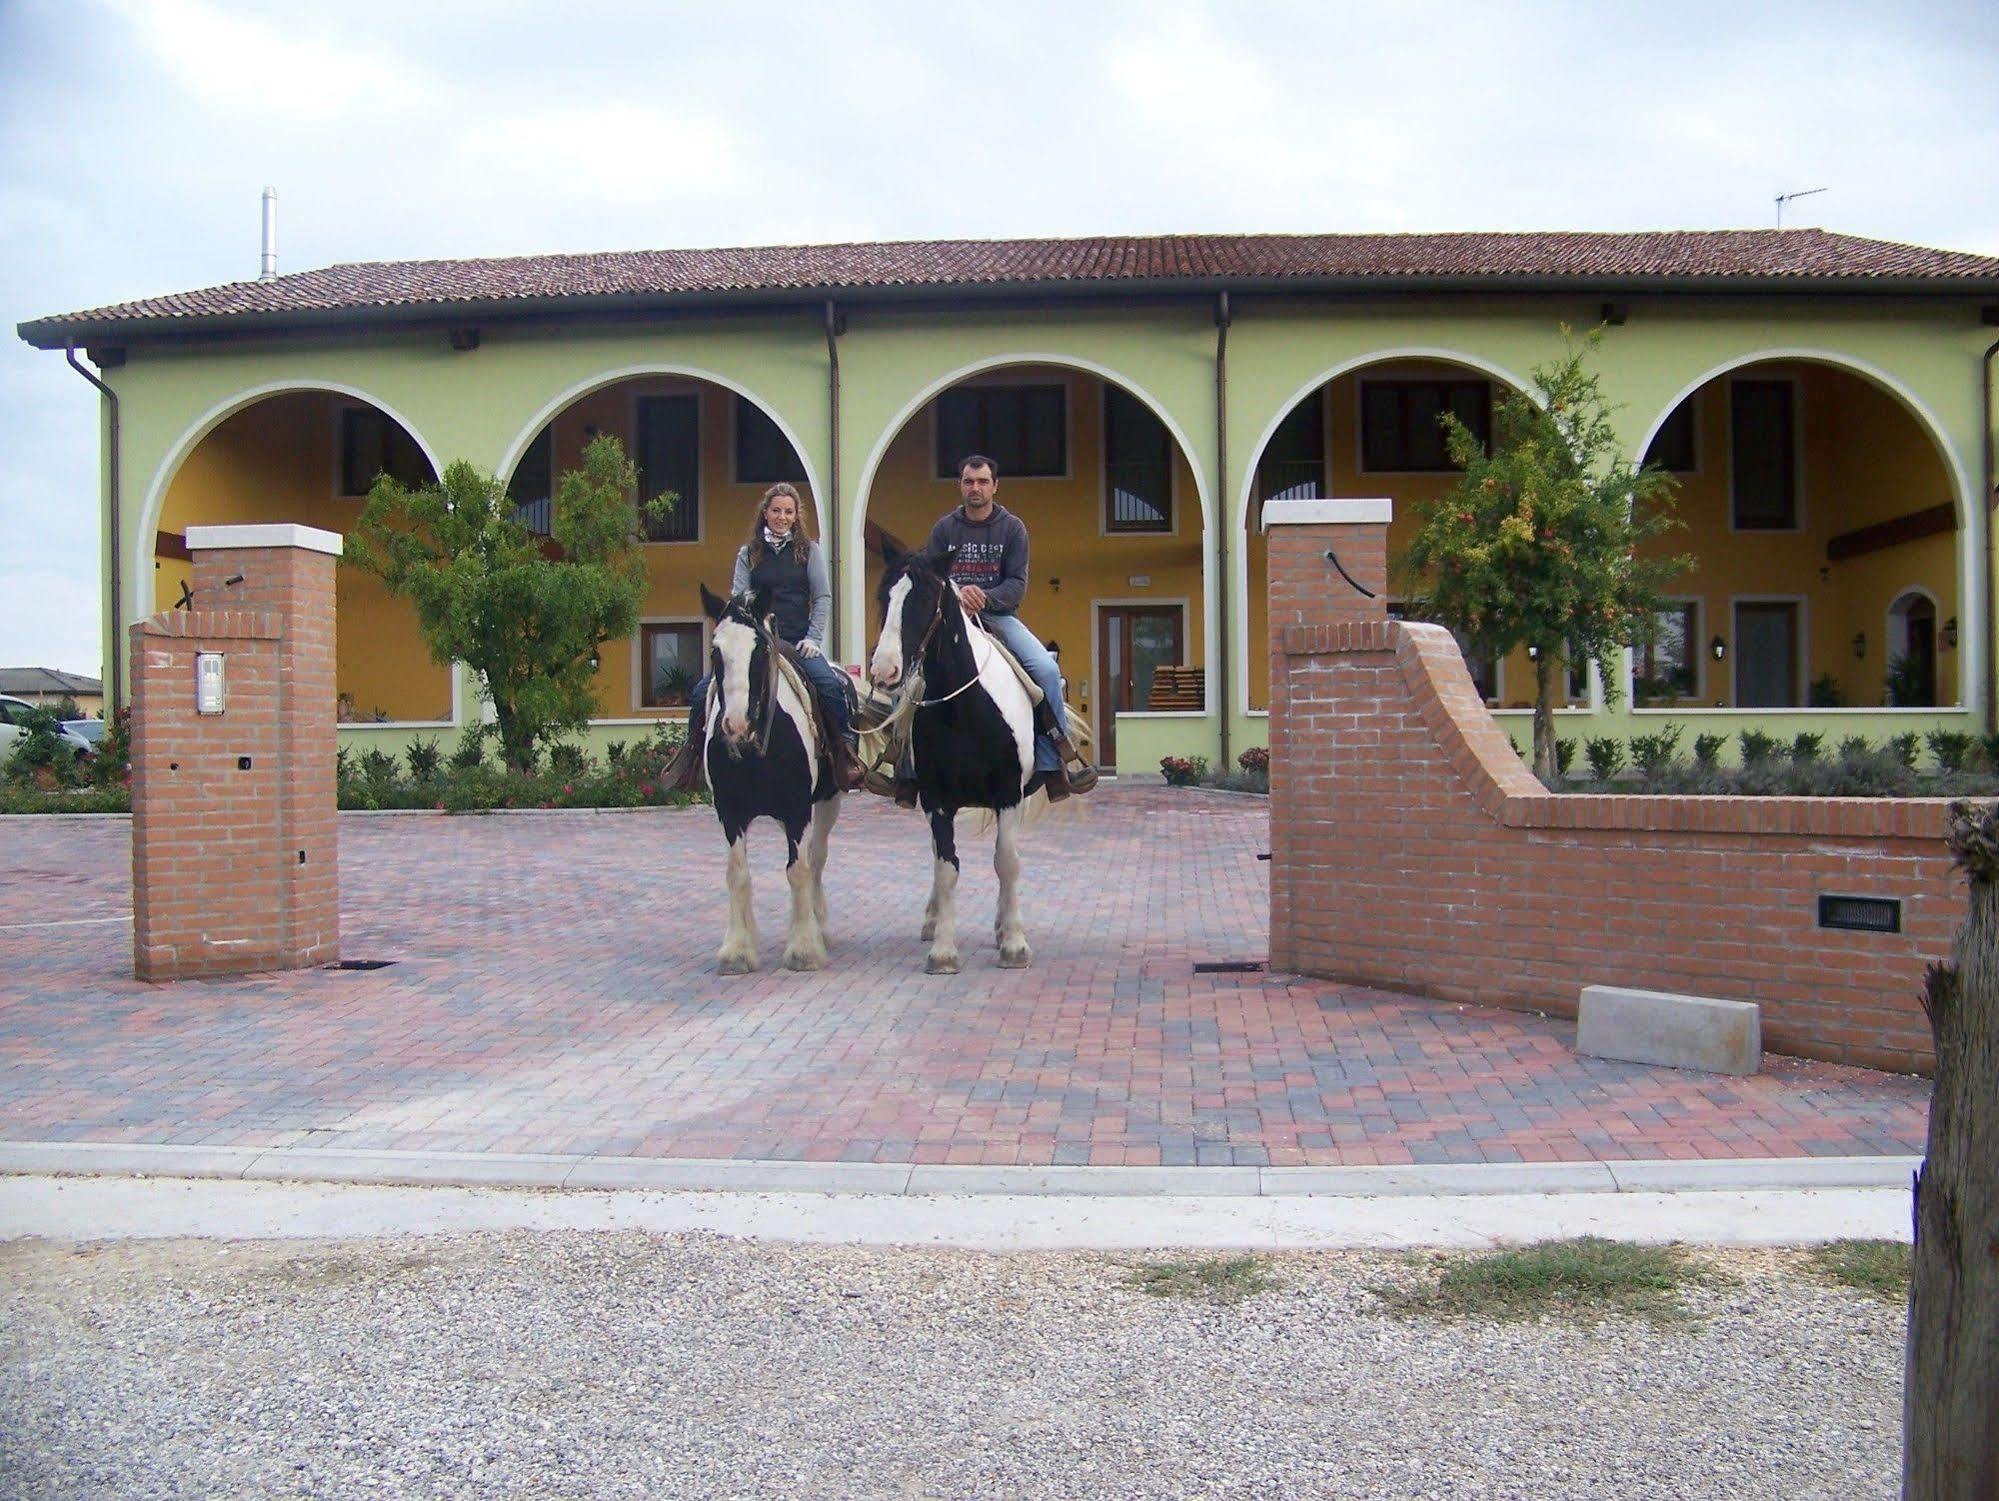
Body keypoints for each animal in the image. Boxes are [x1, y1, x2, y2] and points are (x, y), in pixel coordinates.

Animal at [699, 579, 839, 979]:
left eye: (760, 649)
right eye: (715, 650)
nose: (736, 724)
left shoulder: (797, 809)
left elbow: (798, 870)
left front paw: (804, 948)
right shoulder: (729, 812)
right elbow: (738, 874)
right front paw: (737, 950)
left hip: (827, 802)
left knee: (815, 857)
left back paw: (820, 928)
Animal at [867, 543, 1039, 975]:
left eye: (925, 598)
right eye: (883, 597)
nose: (884, 670)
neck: (963, 709)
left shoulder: (1009, 794)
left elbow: (1006, 862)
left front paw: (1014, 944)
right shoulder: (936, 799)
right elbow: (946, 867)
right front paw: (943, 951)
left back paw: (1002, 926)